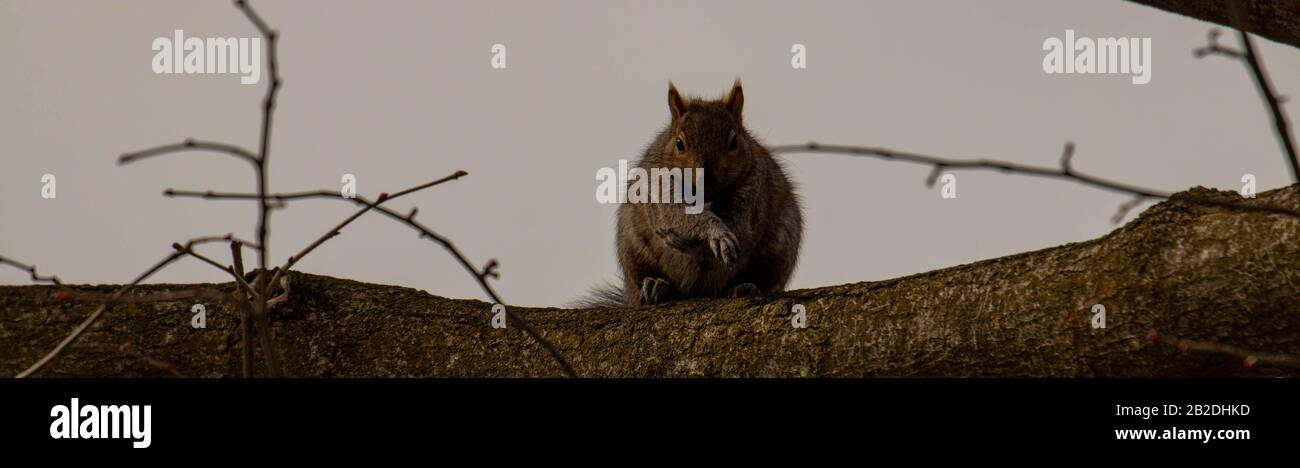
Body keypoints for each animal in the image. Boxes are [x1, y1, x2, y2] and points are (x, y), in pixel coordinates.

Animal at [580, 80, 804, 307]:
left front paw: (710, 238)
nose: (705, 182)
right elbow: (674, 215)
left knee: (764, 278)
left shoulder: (753, 191)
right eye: (679, 143)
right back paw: (656, 286)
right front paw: (711, 233)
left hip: (779, 249)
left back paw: (747, 287)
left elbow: (739, 227)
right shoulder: (659, 187)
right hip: (633, 249)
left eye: (734, 142)